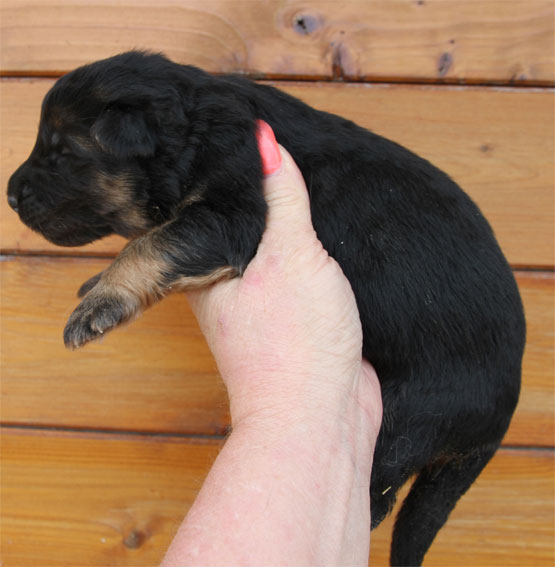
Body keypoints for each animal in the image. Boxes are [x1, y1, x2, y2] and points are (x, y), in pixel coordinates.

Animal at [7, 51, 525, 566]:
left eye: (63, 153)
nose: (9, 194)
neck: (194, 129)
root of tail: (499, 420)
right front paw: (96, 283)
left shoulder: (232, 211)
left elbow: (151, 243)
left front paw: (102, 299)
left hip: (413, 416)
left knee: (379, 490)